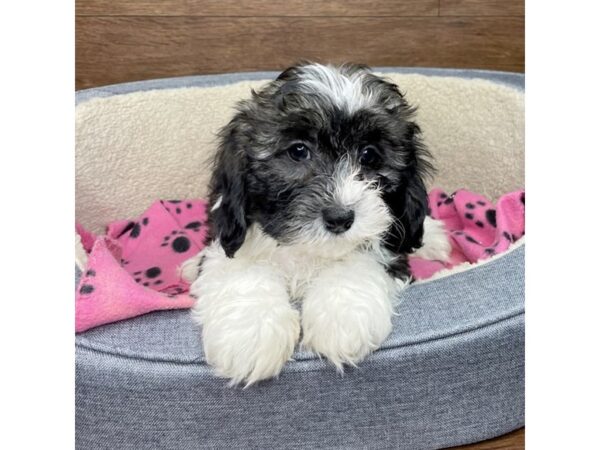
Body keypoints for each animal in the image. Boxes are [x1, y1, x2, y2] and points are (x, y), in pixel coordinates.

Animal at [183, 62, 450, 386]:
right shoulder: (230, 238)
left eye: (369, 155)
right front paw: (251, 335)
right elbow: (241, 272)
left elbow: (358, 261)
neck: (307, 250)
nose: (340, 217)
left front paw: (342, 320)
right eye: (298, 151)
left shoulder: (386, 251)